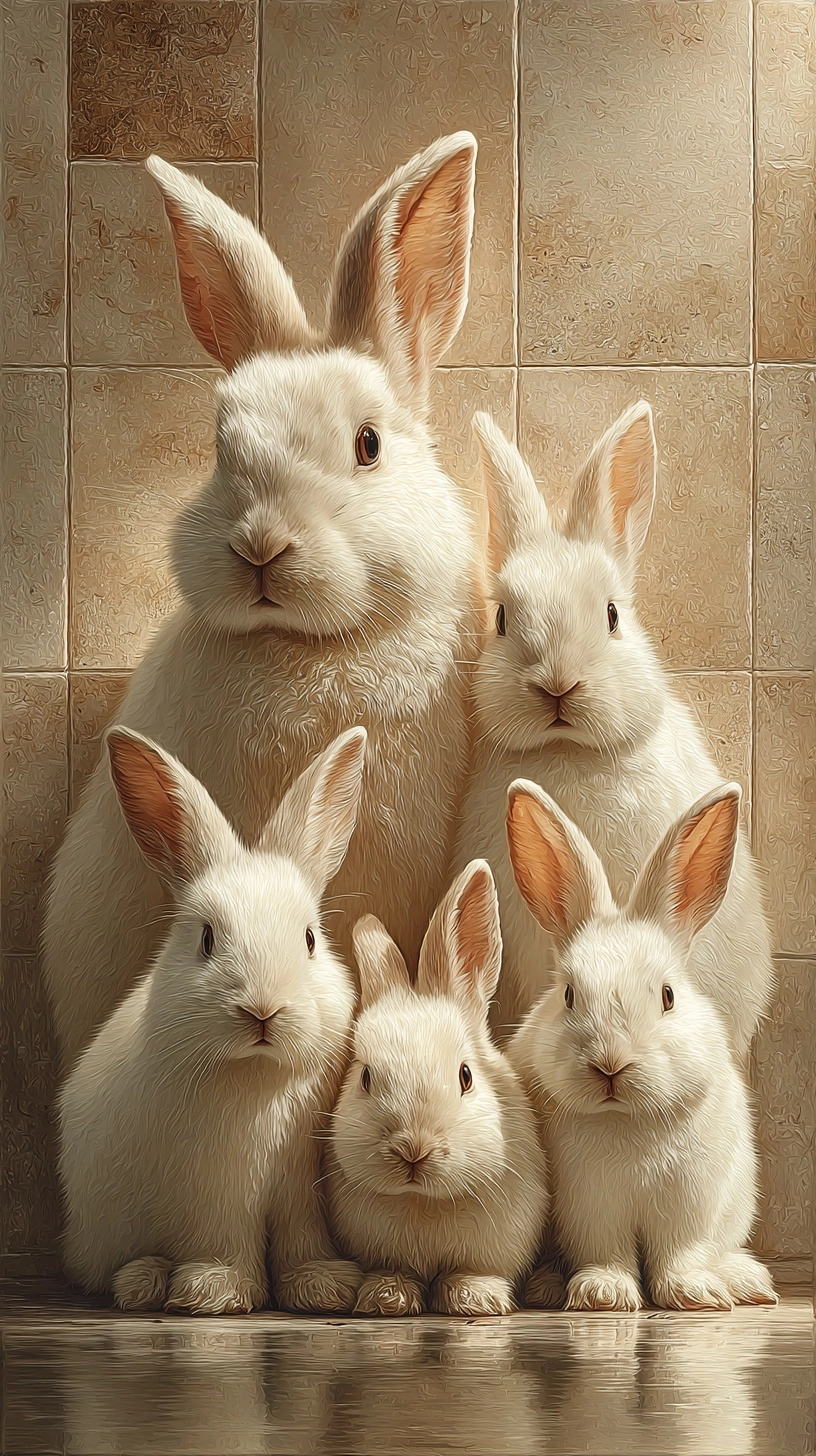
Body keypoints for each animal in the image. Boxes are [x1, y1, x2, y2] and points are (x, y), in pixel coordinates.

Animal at [58, 724, 368, 1316]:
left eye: (310, 938)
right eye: (205, 939)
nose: (262, 1010)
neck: (256, 1074)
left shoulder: (298, 1183)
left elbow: (301, 1237)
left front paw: (321, 1287)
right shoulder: (216, 1186)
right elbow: (223, 1237)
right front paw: (215, 1291)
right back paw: (144, 1282)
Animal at [326, 861, 549, 1318]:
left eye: (466, 1076)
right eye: (365, 1078)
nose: (414, 1149)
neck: (424, 1201)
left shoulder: (494, 1245)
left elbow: (472, 1271)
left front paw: (475, 1298)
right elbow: (396, 1272)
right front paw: (387, 1298)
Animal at [507, 777, 778, 1314]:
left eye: (668, 995)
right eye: (569, 995)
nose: (611, 1064)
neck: (626, 1121)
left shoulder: (689, 1200)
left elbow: (681, 1251)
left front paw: (695, 1294)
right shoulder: (589, 1206)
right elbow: (604, 1251)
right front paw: (604, 1294)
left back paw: (745, 1281)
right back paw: (548, 1287)